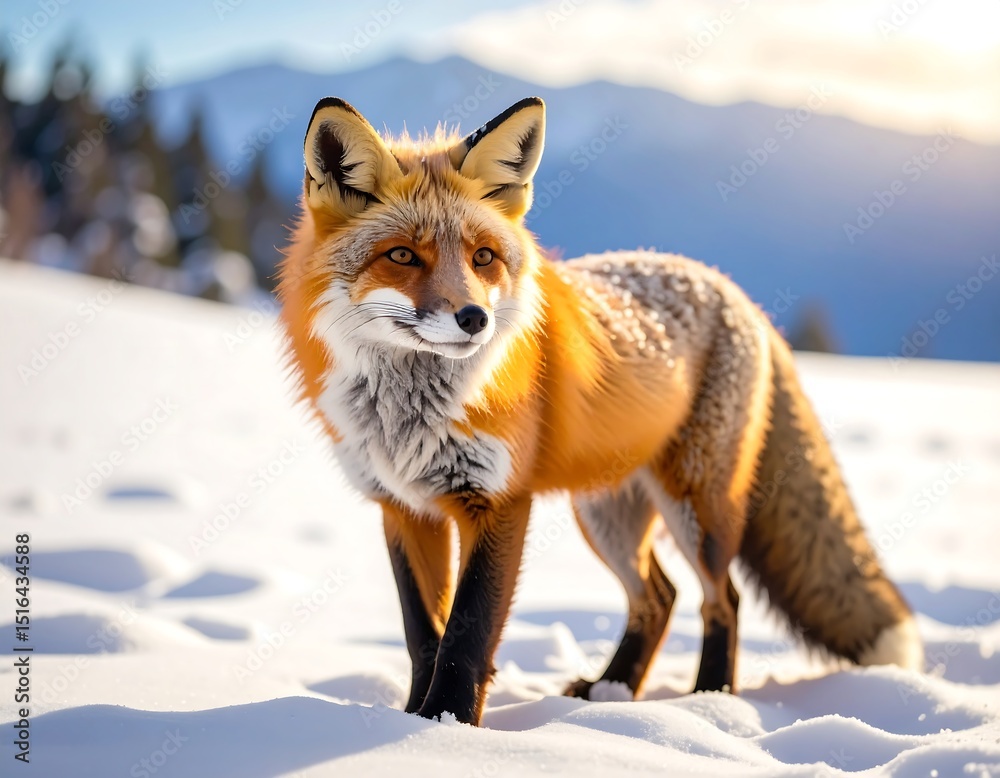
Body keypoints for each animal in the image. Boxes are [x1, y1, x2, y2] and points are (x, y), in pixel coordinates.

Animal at [277, 96, 923, 727]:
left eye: (483, 257)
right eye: (403, 255)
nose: (474, 319)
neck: (407, 415)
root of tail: (732, 290)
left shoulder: (498, 501)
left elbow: (467, 634)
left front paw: (448, 724)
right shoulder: (404, 507)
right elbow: (423, 635)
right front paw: (412, 720)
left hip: (696, 507)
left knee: (723, 598)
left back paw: (709, 698)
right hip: (605, 513)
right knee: (659, 597)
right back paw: (613, 690)